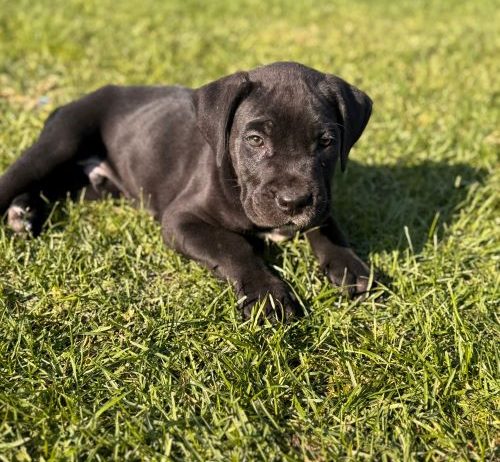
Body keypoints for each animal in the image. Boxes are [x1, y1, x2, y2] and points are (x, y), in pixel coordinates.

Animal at [0, 62, 374, 322]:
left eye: (326, 142)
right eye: (255, 140)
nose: (293, 202)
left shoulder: (323, 198)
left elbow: (326, 225)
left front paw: (350, 265)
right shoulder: (181, 219)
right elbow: (234, 246)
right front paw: (268, 294)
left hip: (96, 187)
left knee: (52, 187)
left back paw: (25, 213)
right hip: (58, 145)